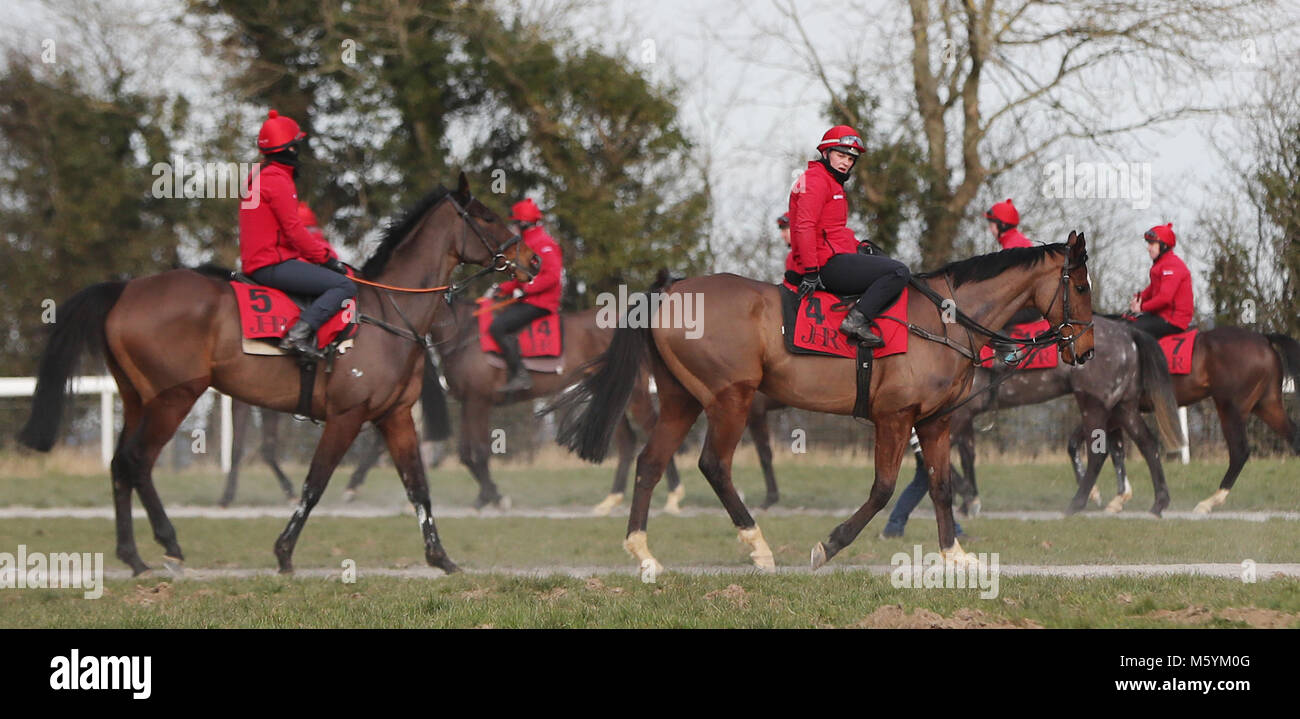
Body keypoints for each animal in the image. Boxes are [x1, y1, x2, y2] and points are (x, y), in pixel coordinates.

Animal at [17, 176, 530, 574]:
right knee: (137, 461)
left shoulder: (395, 417)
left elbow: (418, 488)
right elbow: (314, 484)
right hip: (174, 397)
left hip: (137, 398)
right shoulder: (347, 415)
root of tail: (125, 289)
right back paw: (168, 543)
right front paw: (284, 552)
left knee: (119, 463)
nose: (530, 260)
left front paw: (441, 558)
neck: (388, 312)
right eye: (486, 217)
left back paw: (134, 557)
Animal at [548, 232, 1097, 569]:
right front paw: (829, 545)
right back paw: (759, 546)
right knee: (714, 466)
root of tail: (672, 289)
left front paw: (954, 555)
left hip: (683, 401)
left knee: (650, 463)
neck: (945, 318)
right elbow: (882, 490)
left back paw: (643, 552)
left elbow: (940, 487)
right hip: (730, 400)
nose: (1088, 349)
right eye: (1080, 284)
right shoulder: (895, 419)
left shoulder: (935, 422)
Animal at [1066, 325, 1300, 509]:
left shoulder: (1111, 410)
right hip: (1267, 405)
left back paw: (1209, 502)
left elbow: (1084, 445)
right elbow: (1113, 450)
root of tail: (1264, 339)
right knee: (1294, 437)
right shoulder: (1117, 413)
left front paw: (1095, 493)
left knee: (1239, 451)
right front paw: (1117, 497)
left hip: (1231, 408)